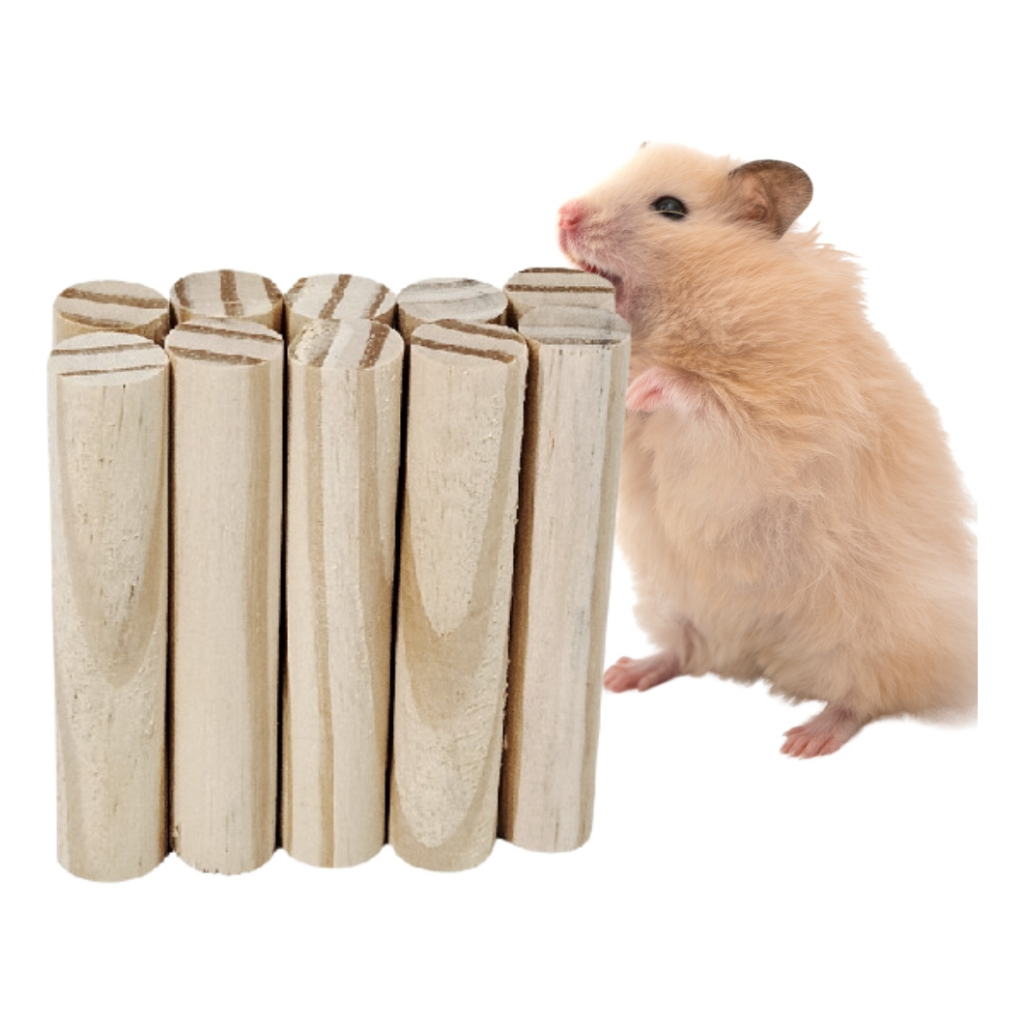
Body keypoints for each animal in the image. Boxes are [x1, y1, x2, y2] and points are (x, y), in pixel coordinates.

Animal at [557, 143, 977, 757]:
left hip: (878, 629)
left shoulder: (776, 420)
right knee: (688, 653)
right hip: (672, 601)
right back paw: (624, 674)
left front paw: (646, 388)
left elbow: (704, 399)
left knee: (866, 696)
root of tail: (763, 658)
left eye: (669, 208)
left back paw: (806, 740)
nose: (564, 216)